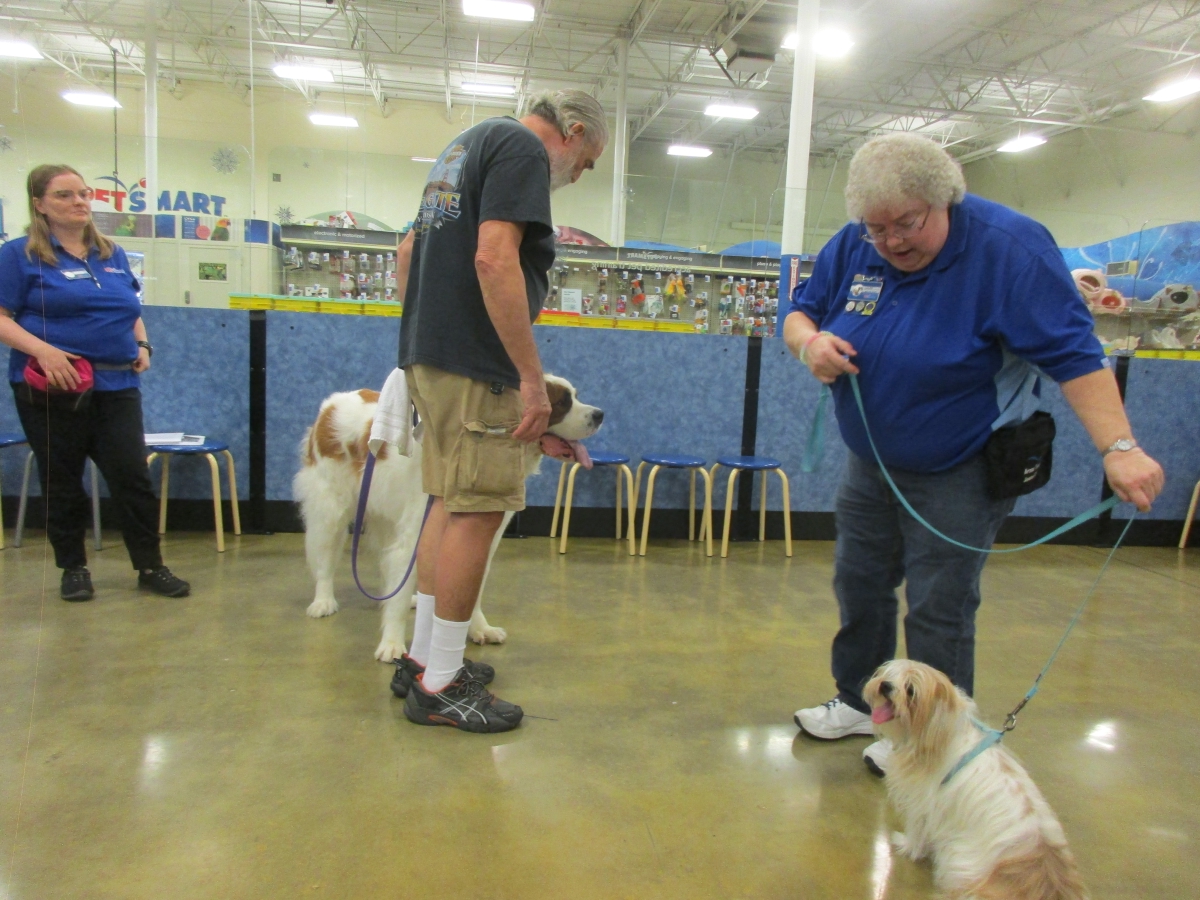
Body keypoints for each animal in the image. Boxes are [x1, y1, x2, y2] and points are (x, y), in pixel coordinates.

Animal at [293, 374, 602, 662]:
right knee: (325, 558)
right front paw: (392, 644)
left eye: (575, 396)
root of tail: (332, 403)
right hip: (330, 510)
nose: (599, 414)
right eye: (562, 403)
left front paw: (480, 628)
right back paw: (323, 601)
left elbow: (470, 587)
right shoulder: (414, 537)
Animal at [863, 660, 1087, 900]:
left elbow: (916, 832)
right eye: (889, 675)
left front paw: (906, 845)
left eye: (910, 690)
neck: (939, 731)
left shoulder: (922, 804)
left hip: (957, 859)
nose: (885, 686)